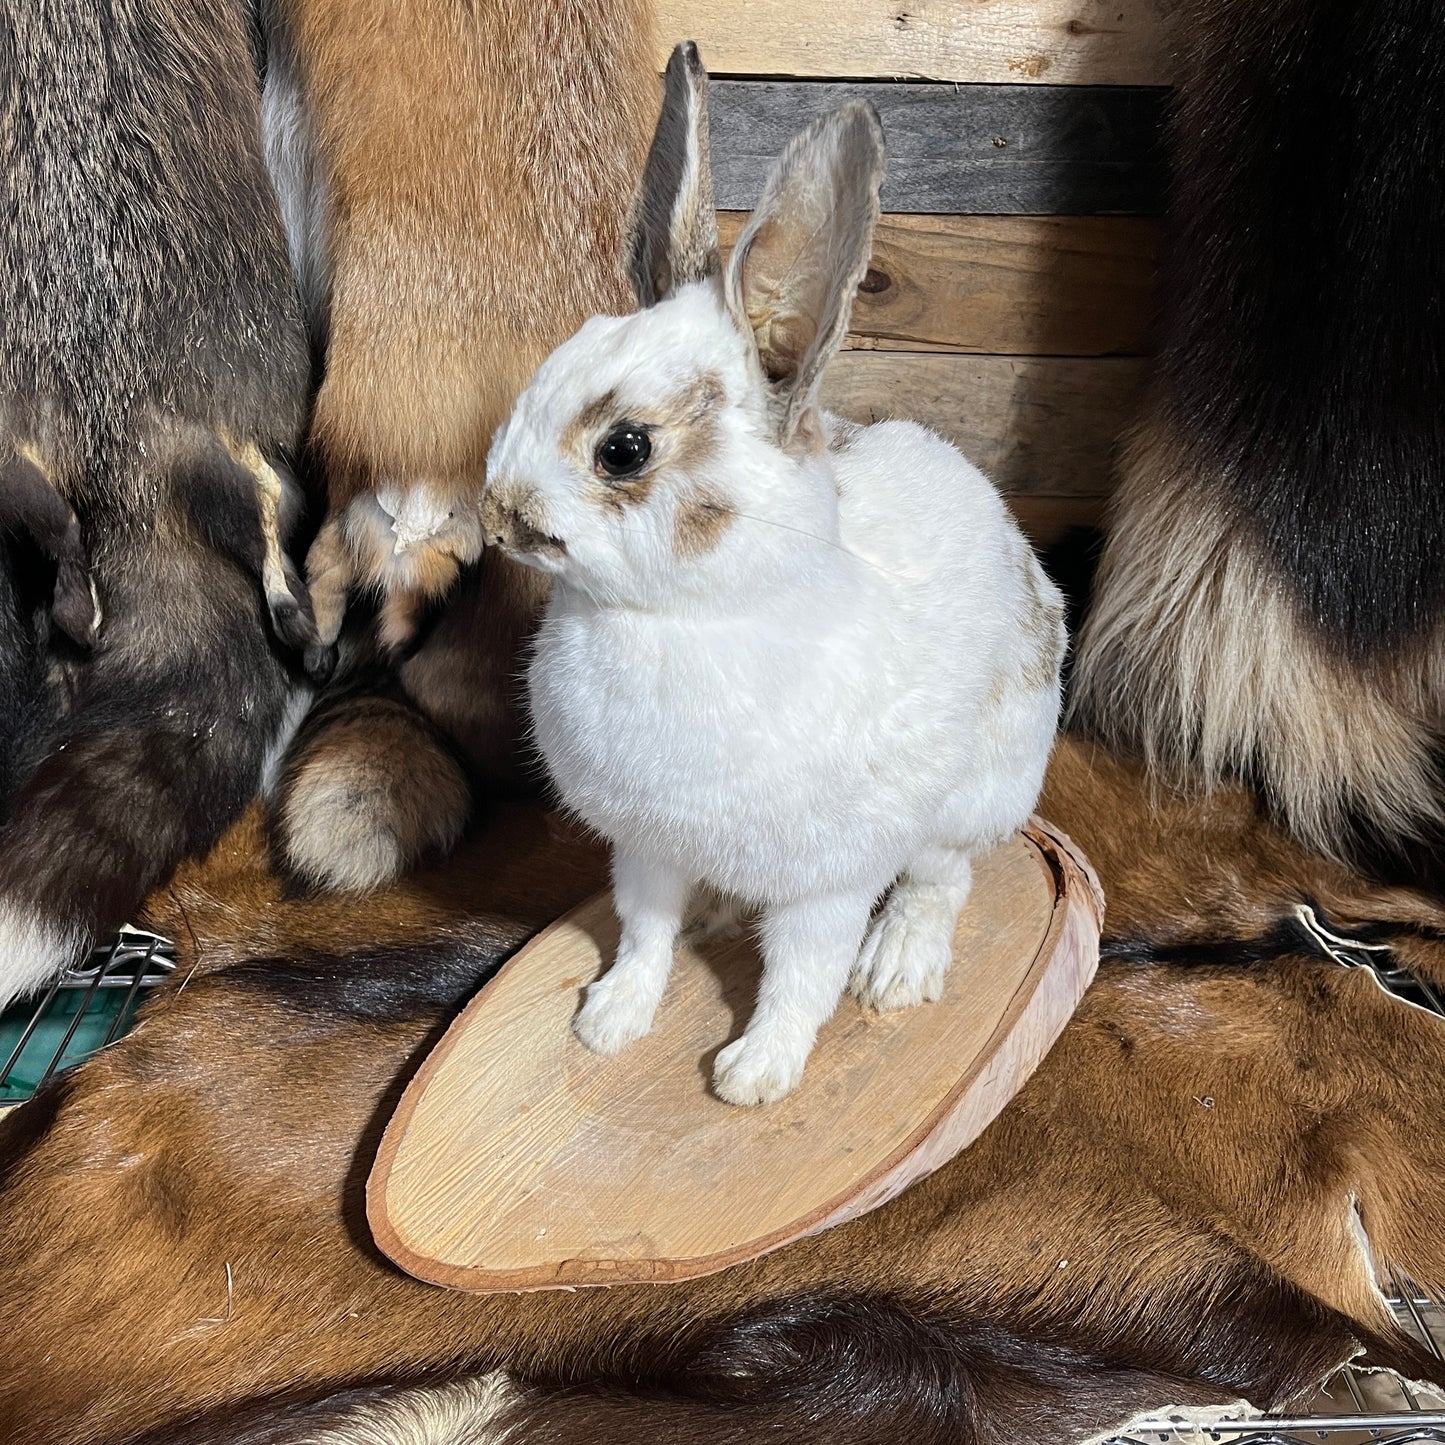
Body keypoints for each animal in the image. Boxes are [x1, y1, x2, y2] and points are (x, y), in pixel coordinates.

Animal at [491, 48, 1069, 1103]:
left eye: (624, 449)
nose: (496, 511)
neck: (685, 613)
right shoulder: (644, 849)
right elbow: (641, 933)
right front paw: (608, 1020)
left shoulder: (826, 883)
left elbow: (801, 977)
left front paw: (753, 1076)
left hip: (972, 799)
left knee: (942, 879)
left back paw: (896, 969)